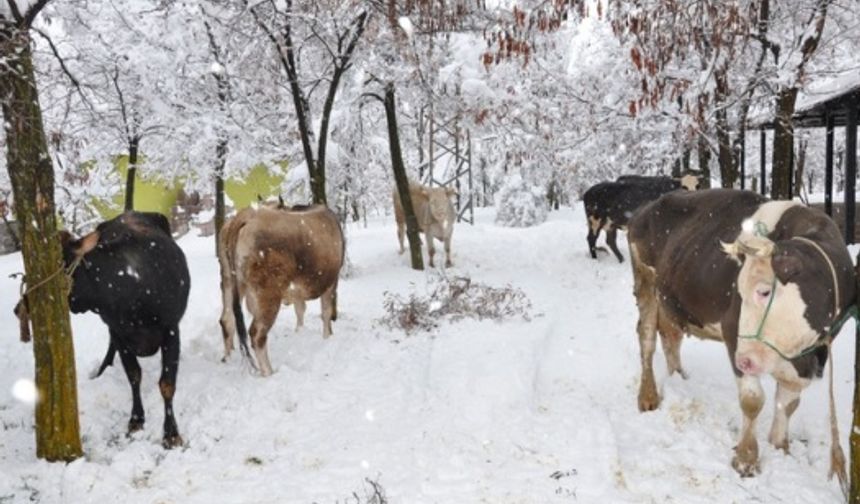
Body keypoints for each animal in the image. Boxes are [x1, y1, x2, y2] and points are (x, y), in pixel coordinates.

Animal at [50, 211, 190, 446]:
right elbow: (134, 375)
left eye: (63, 263)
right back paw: (102, 369)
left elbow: (167, 384)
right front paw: (136, 420)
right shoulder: (119, 333)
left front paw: (171, 433)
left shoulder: (171, 330)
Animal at [217, 204, 344, 374]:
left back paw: (228, 359)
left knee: (227, 320)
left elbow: (300, 309)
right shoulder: (331, 281)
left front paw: (299, 332)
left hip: (229, 281)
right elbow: (326, 312)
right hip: (268, 292)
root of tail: (246, 214)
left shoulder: (298, 289)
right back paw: (268, 372)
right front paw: (327, 337)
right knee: (257, 333)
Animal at [628, 190, 856, 484]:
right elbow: (753, 400)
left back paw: (678, 377)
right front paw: (746, 459)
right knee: (646, 337)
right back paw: (648, 397)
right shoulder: (733, 330)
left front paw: (780, 448)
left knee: (670, 334)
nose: (744, 361)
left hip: (670, 296)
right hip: (644, 278)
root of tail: (650, 204)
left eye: (764, 291)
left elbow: (788, 403)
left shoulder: (806, 358)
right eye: (738, 291)